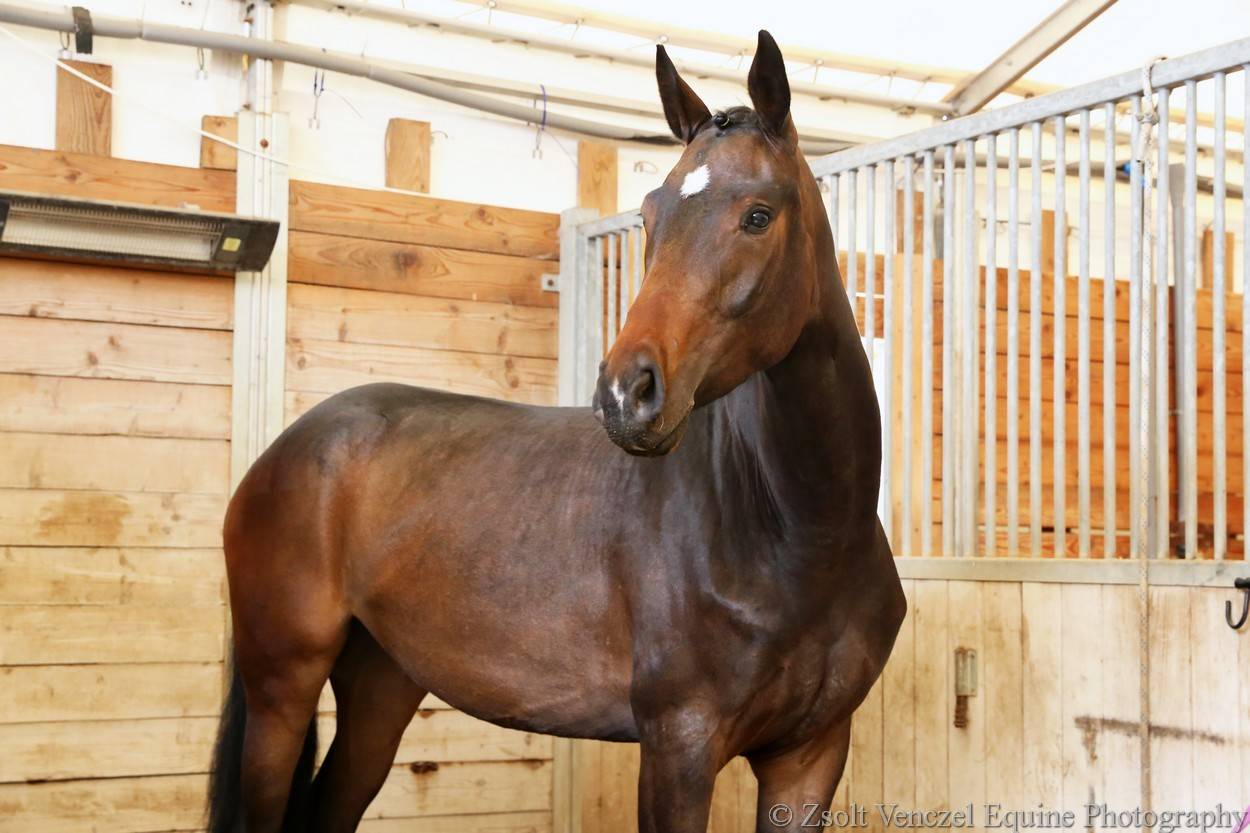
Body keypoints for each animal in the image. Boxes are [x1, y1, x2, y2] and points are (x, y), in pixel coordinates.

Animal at [207, 29, 905, 833]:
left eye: (758, 215)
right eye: (648, 216)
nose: (626, 394)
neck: (801, 534)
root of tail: (285, 451)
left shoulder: (809, 757)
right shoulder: (679, 745)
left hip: (383, 681)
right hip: (282, 689)